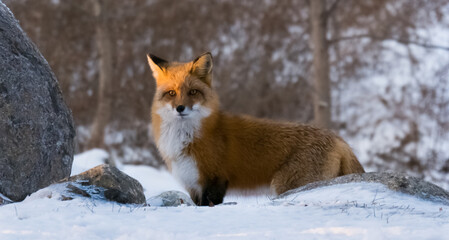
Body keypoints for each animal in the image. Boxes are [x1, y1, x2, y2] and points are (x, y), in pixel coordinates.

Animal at [147, 52, 364, 206]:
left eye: (193, 92)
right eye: (171, 93)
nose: (180, 108)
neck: (187, 138)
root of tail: (338, 139)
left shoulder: (215, 180)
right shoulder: (192, 184)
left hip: (284, 187)